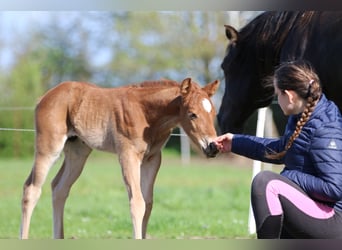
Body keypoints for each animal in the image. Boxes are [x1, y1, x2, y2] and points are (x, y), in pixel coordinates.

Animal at [20, 77, 219, 238]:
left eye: (213, 113)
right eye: (192, 114)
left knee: (59, 188)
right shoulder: (128, 155)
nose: (213, 147)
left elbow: (148, 203)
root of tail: (44, 97)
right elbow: (137, 203)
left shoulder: (152, 159)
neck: (146, 114)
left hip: (77, 152)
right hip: (49, 147)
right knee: (31, 189)